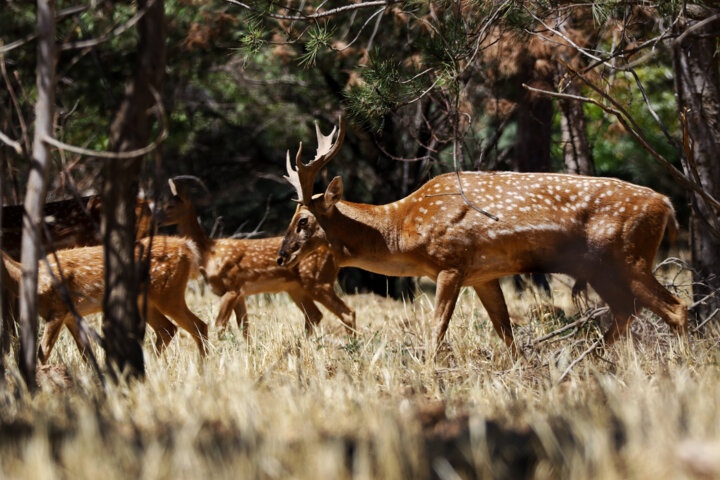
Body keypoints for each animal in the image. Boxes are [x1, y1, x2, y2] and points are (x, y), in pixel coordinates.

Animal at [0, 236, 208, 364]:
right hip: (147, 301)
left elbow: (42, 352)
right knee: (168, 329)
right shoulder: (70, 315)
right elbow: (86, 353)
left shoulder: (57, 310)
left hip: (168, 294)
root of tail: (188, 248)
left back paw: (202, 368)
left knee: (198, 325)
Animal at [160, 179, 358, 338]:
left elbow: (220, 324)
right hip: (296, 287)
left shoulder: (231, 286)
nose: (156, 219)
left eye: (169, 206)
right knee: (315, 315)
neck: (209, 253)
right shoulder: (239, 292)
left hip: (317, 279)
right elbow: (244, 327)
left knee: (347, 312)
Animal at [276, 118, 688, 354]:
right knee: (626, 311)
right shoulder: (484, 274)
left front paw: (430, 371)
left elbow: (437, 329)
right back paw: (595, 362)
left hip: (627, 255)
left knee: (675, 308)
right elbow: (505, 332)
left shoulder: (451, 263)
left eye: (303, 220)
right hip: (603, 266)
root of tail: (667, 204)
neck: (401, 230)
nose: (281, 256)